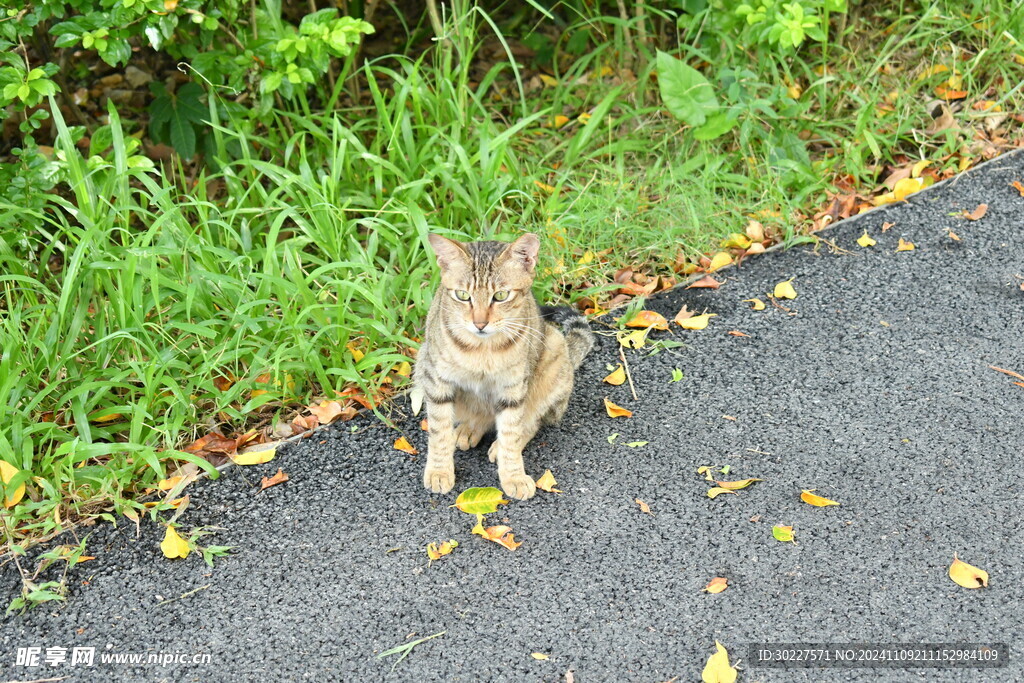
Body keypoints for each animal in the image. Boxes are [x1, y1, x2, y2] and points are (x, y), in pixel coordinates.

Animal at [413, 232, 598, 499]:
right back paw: (468, 429)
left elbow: (512, 431)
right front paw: (439, 470)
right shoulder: (436, 380)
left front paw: (513, 475)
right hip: (421, 358)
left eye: (500, 296)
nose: (479, 323)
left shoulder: (513, 387)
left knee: (532, 421)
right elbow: (439, 431)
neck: (482, 350)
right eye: (462, 295)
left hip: (553, 351)